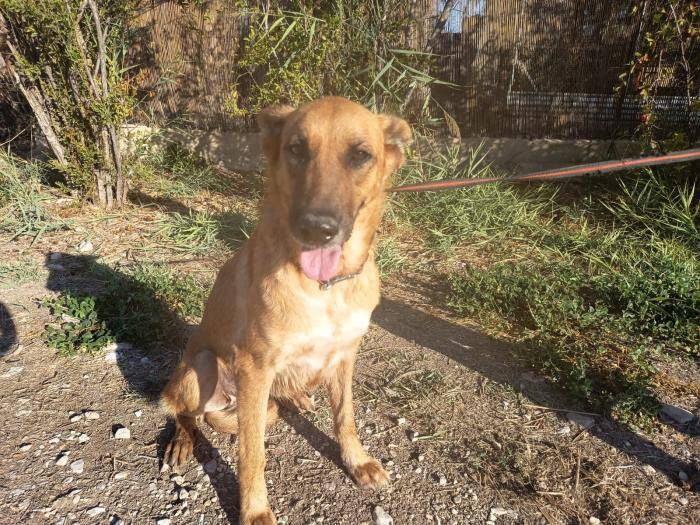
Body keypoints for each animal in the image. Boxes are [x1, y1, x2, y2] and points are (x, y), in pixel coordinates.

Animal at [160, 96, 412, 525]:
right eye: (296, 149)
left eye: (360, 155)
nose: (317, 229)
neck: (325, 287)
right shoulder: (254, 366)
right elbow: (252, 454)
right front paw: (255, 509)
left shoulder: (345, 356)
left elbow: (345, 418)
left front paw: (356, 461)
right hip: (201, 367)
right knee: (184, 412)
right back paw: (182, 440)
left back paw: (298, 398)